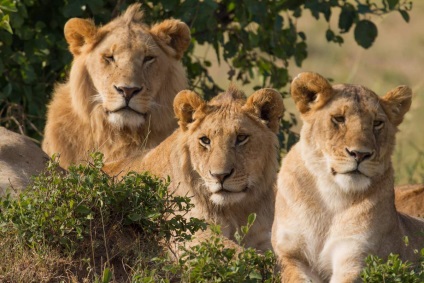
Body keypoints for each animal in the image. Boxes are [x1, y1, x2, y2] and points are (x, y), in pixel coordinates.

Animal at [106, 86, 284, 253]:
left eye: (241, 138)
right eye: (205, 140)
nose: (220, 176)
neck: (235, 210)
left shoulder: (264, 236)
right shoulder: (188, 232)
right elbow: (238, 253)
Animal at [272, 72, 424, 282]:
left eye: (377, 123)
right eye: (339, 119)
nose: (360, 154)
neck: (330, 197)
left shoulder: (356, 255)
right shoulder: (290, 254)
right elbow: (296, 276)